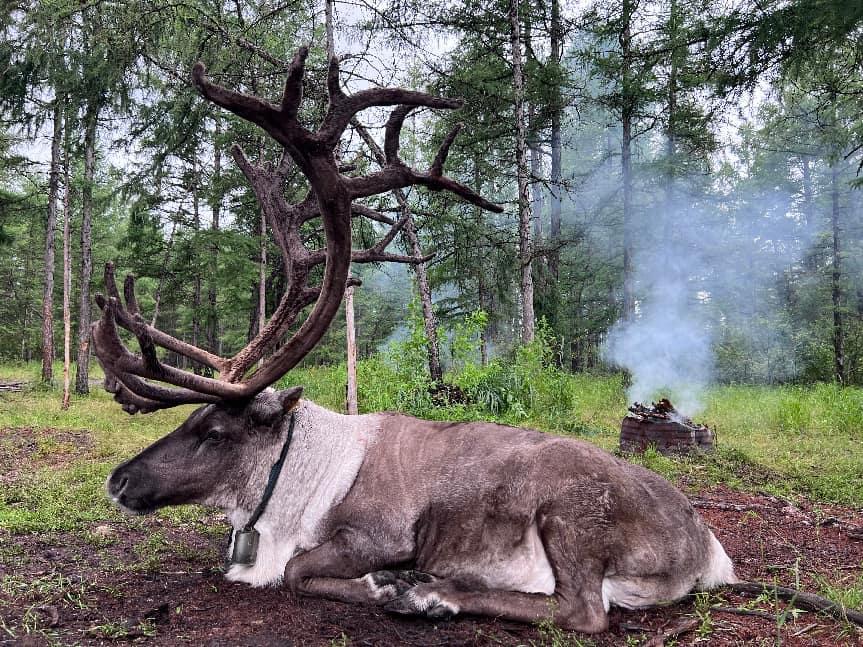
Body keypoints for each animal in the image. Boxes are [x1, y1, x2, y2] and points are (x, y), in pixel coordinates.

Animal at [94, 45, 737, 634]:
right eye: (189, 419)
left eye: (214, 432)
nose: (119, 479)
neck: (291, 489)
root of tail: (709, 550)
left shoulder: (381, 533)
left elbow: (301, 571)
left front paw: (385, 585)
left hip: (569, 512)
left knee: (582, 610)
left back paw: (430, 593)